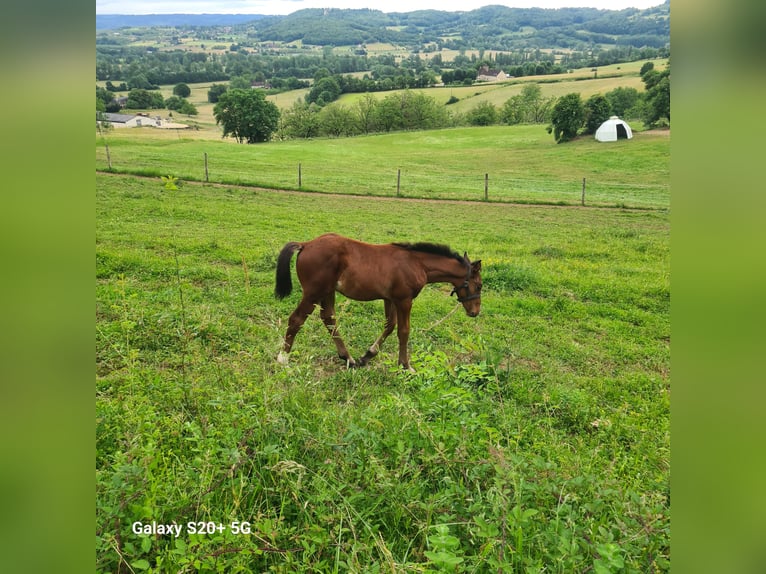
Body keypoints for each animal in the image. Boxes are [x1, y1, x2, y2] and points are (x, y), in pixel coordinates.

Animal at [272, 235, 484, 374]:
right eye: (480, 285)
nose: (475, 312)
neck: (417, 263)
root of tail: (306, 245)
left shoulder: (390, 299)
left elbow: (390, 326)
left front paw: (367, 355)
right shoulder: (404, 300)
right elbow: (403, 331)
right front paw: (406, 366)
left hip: (327, 292)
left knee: (328, 318)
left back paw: (348, 359)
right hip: (314, 292)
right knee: (297, 319)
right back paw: (283, 359)